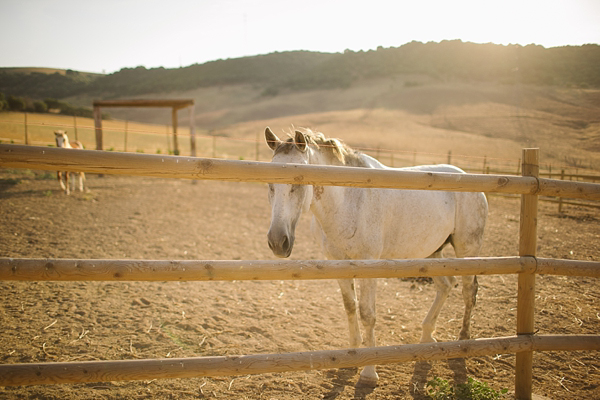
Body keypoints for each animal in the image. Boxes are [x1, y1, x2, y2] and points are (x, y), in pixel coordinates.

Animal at [264, 126, 490, 386]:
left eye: (298, 182)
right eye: (269, 184)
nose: (277, 242)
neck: (349, 201)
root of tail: (467, 177)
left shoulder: (368, 265)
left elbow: (367, 315)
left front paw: (369, 371)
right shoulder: (338, 263)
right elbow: (350, 307)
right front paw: (352, 354)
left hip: (467, 250)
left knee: (468, 291)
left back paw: (463, 340)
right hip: (433, 252)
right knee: (446, 285)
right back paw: (427, 335)